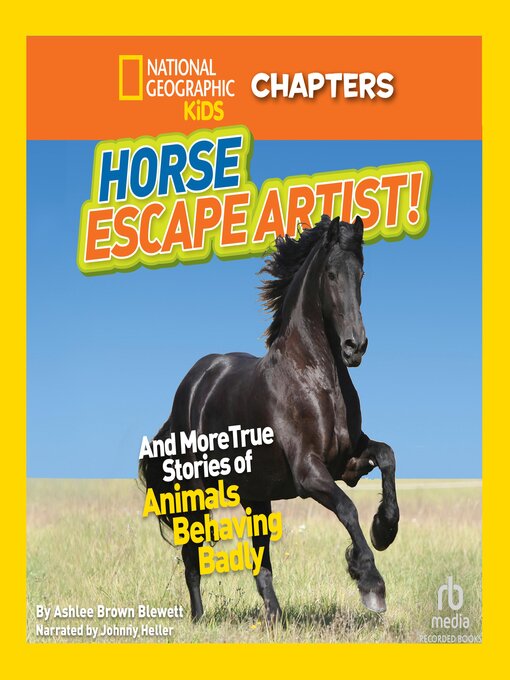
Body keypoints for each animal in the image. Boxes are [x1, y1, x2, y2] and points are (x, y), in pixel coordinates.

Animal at [139, 214, 400, 622]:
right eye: (330, 274)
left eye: (361, 274)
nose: (355, 347)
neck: (315, 380)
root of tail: (191, 386)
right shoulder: (309, 473)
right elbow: (347, 508)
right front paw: (370, 582)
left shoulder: (348, 463)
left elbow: (387, 455)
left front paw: (384, 529)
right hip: (196, 496)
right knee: (192, 558)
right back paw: (199, 619)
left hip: (256, 497)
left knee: (261, 566)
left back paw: (275, 619)